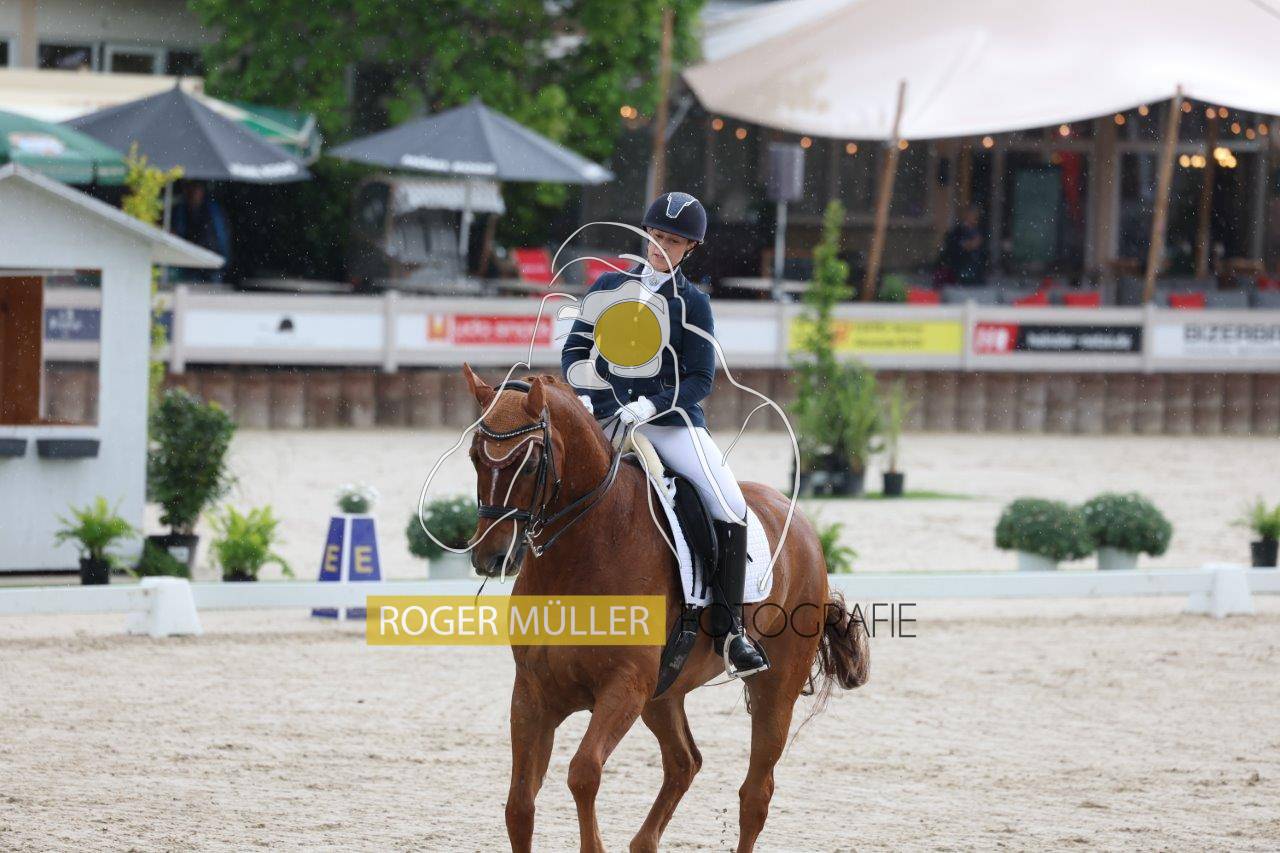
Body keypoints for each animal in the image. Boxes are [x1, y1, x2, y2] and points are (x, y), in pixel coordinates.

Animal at [461, 364, 868, 853]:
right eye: (474, 457)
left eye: (530, 458)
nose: (491, 557)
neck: (586, 549)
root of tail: (802, 522)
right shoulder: (533, 693)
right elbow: (519, 805)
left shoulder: (625, 687)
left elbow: (583, 773)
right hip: (664, 694)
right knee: (684, 762)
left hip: (775, 689)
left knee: (756, 793)